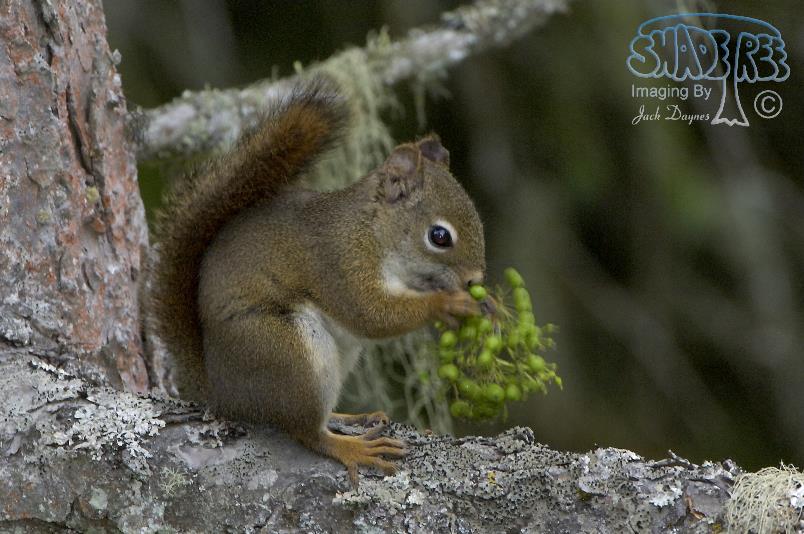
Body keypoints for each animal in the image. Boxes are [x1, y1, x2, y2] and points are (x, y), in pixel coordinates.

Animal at [147, 77, 486, 486]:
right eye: (439, 236)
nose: (475, 279)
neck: (371, 232)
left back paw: (349, 416)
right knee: (306, 431)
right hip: (289, 353)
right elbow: (370, 315)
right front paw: (446, 304)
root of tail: (223, 391)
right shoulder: (338, 264)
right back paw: (350, 447)